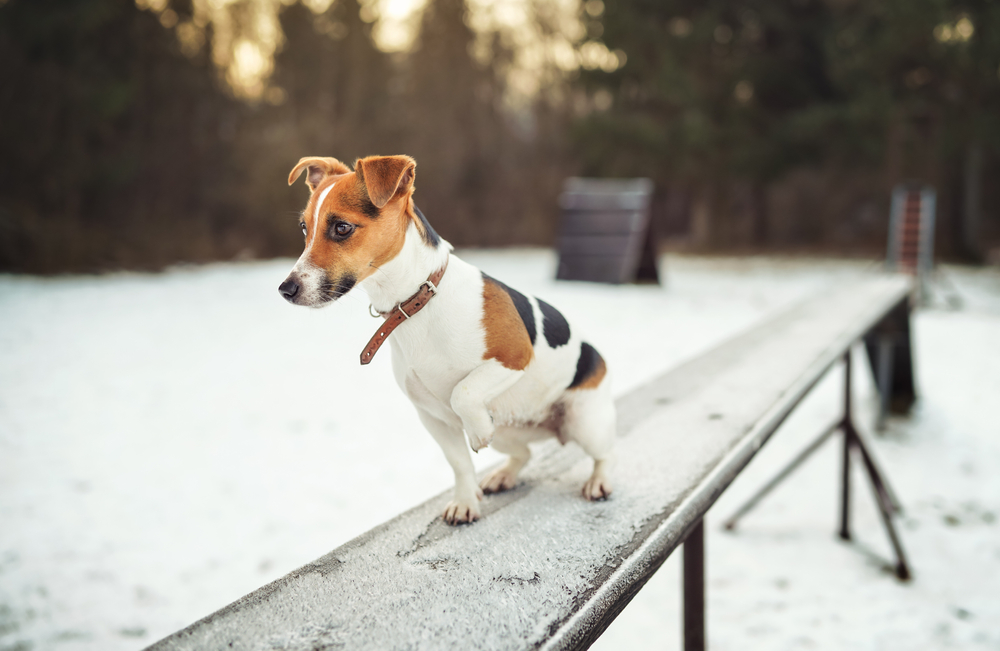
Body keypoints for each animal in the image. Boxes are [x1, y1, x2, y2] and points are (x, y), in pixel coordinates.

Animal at [278, 154, 612, 524]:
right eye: (304, 229)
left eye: (341, 228)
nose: (286, 289)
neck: (416, 303)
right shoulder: (434, 419)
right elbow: (460, 463)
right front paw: (465, 502)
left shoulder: (514, 356)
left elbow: (463, 392)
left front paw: (476, 429)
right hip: (507, 433)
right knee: (523, 453)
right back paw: (504, 475)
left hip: (584, 423)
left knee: (604, 454)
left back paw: (598, 481)